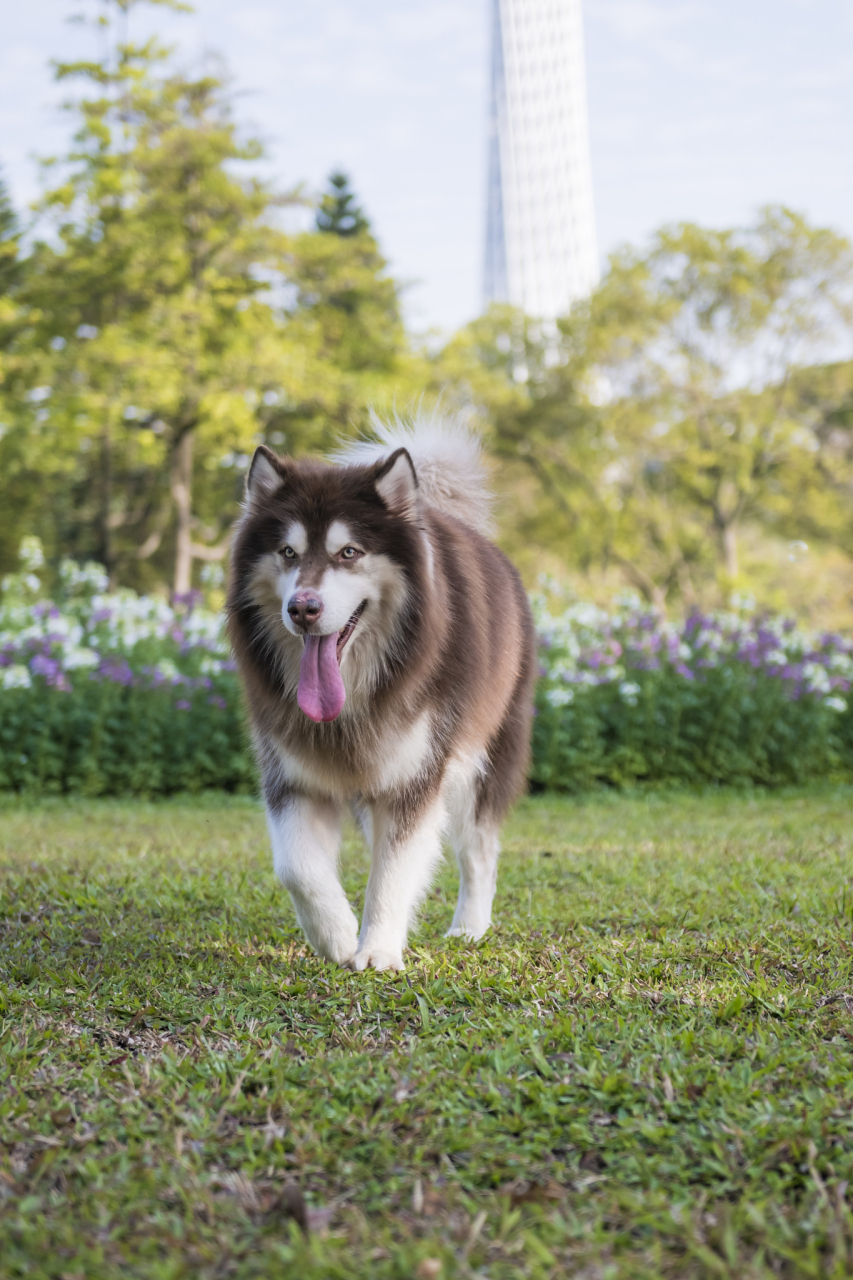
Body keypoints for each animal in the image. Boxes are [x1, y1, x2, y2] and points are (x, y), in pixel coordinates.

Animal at [225, 417, 532, 967]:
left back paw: (469, 927)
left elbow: (395, 867)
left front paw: (378, 950)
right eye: (288, 552)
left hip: (486, 756)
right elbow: (297, 869)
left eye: (349, 552)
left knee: (478, 851)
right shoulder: (293, 772)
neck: (357, 697)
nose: (302, 608)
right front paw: (339, 936)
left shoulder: (415, 773)